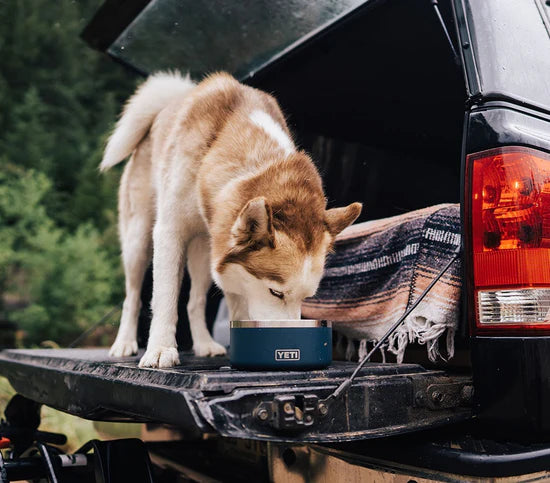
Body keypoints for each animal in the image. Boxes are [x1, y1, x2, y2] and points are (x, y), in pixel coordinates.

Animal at [101, 71, 364, 366]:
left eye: (307, 297)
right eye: (276, 292)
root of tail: (167, 105)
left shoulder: (224, 249)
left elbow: (235, 301)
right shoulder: (170, 232)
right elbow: (165, 297)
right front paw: (160, 349)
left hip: (204, 250)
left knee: (195, 301)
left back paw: (204, 343)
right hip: (138, 240)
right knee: (132, 296)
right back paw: (124, 342)